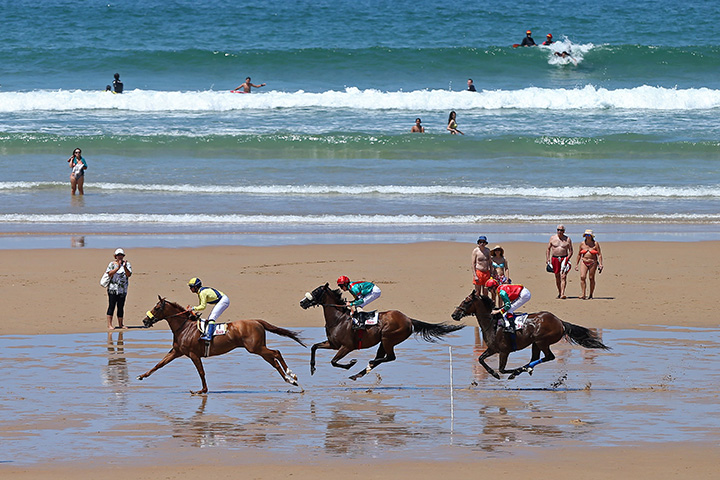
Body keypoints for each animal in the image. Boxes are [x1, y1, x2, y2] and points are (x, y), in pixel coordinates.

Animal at [138, 296, 305, 394]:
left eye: (157, 308)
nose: (145, 321)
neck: (184, 327)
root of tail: (257, 321)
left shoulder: (193, 354)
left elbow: (201, 372)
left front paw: (202, 390)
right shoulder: (176, 351)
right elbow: (159, 364)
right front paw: (142, 375)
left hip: (255, 348)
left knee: (277, 352)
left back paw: (292, 375)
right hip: (258, 349)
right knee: (274, 361)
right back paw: (290, 381)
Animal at [299, 283, 464, 381]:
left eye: (316, 291)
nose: (302, 302)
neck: (339, 319)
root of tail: (408, 319)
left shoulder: (347, 346)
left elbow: (334, 361)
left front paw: (351, 363)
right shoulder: (333, 344)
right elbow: (314, 347)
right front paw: (312, 368)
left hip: (388, 338)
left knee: (390, 357)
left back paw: (367, 365)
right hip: (383, 342)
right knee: (381, 357)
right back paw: (359, 373)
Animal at [451, 290, 610, 380]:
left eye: (467, 301)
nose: (454, 314)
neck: (493, 324)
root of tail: (560, 322)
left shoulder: (503, 351)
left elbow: (502, 369)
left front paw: (505, 373)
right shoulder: (492, 349)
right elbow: (480, 359)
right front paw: (494, 373)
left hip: (542, 341)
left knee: (549, 357)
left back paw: (522, 370)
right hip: (535, 343)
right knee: (536, 358)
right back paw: (526, 368)